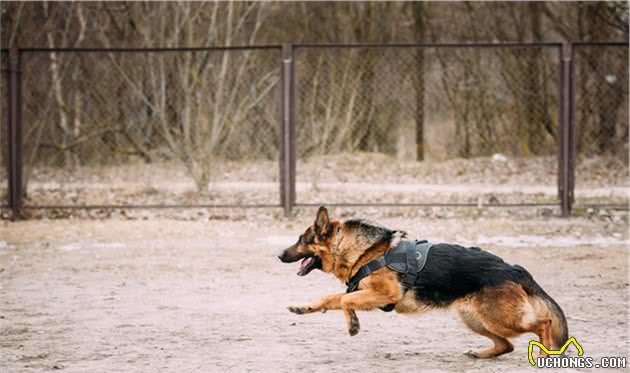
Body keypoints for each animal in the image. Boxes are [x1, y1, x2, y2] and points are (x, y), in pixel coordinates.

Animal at [278, 206, 572, 358]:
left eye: (301, 240)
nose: (279, 255)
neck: (364, 251)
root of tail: (512, 268)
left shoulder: (384, 294)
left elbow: (345, 300)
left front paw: (353, 324)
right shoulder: (364, 292)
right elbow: (333, 299)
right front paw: (305, 308)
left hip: (500, 318)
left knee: (543, 324)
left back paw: (547, 353)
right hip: (476, 319)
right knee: (507, 345)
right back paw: (480, 353)